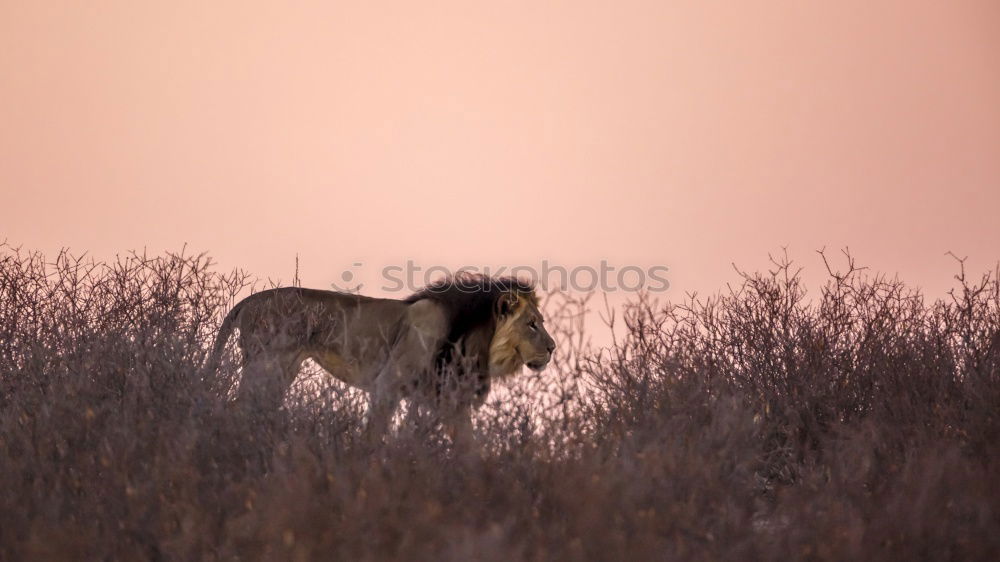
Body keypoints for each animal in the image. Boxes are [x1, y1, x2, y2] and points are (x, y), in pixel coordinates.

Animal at [206, 274, 560, 444]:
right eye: (532, 324)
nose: (553, 348)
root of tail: (251, 299)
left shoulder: (447, 401)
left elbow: (468, 447)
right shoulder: (388, 385)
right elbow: (376, 434)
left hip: (282, 370)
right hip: (267, 365)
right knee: (238, 407)